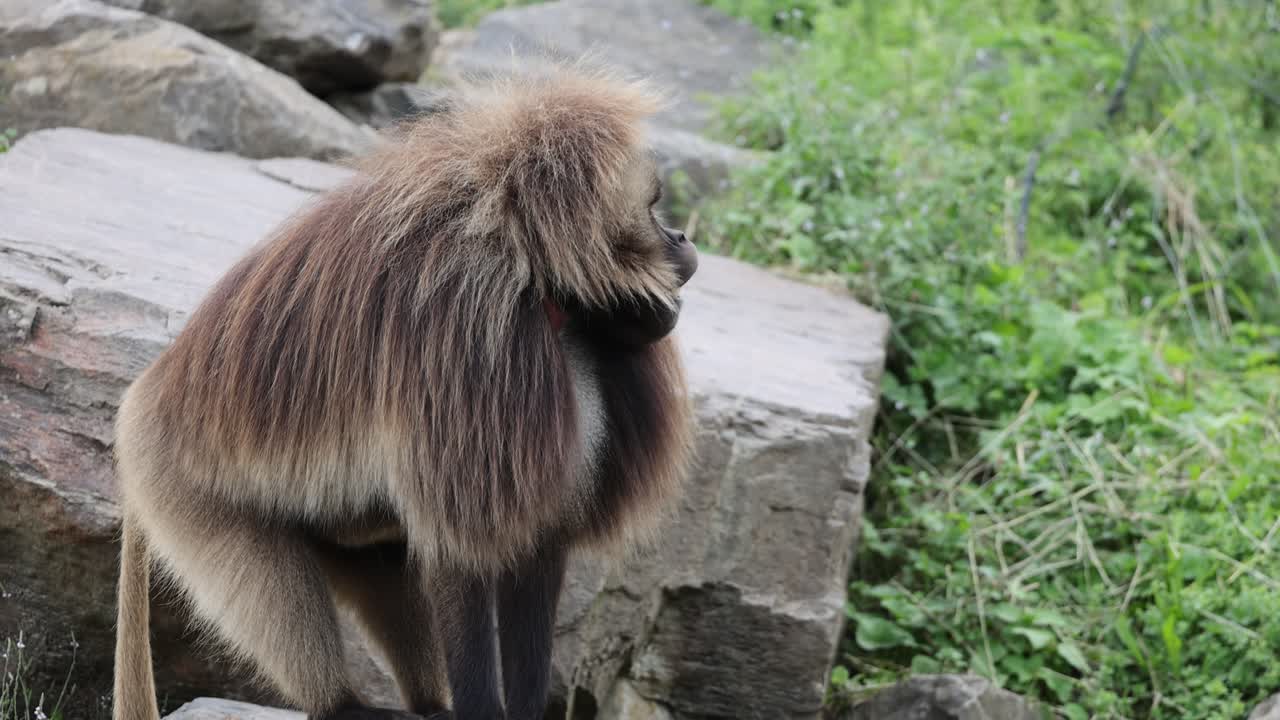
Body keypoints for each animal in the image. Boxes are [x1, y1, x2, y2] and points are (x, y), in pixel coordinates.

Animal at [110, 61, 698, 720]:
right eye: (653, 207)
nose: (683, 239)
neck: (543, 292)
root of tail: (138, 400)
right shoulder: (468, 342)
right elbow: (457, 554)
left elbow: (537, 549)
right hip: (186, 494)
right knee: (273, 591)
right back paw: (345, 706)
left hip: (339, 530)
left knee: (382, 565)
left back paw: (427, 703)